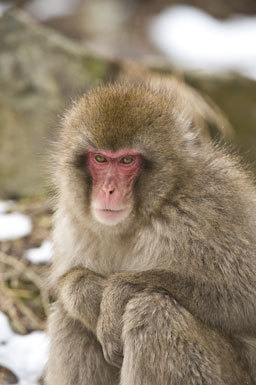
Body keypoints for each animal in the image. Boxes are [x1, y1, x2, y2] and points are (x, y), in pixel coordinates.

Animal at [45, 81, 256, 384]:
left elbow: (246, 297)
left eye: (126, 160)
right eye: (100, 158)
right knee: (68, 317)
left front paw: (117, 292)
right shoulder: (70, 222)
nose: (108, 190)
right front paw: (88, 295)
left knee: (155, 309)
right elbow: (67, 286)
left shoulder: (209, 209)